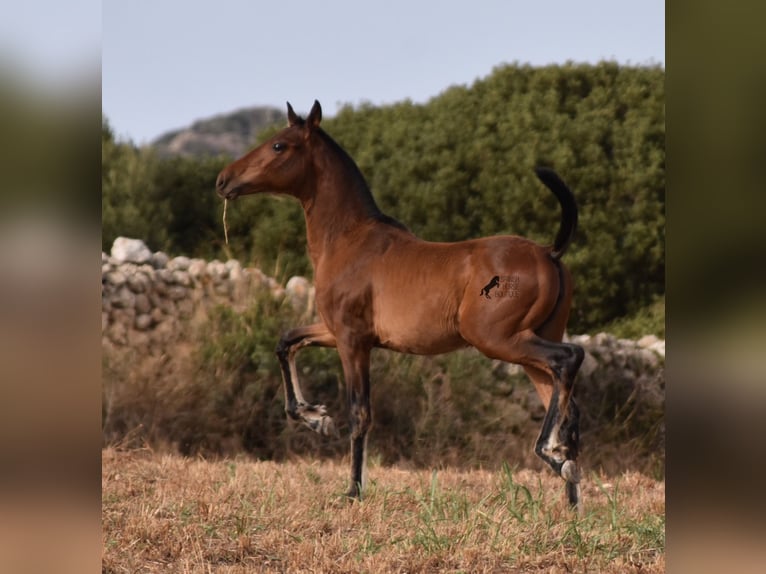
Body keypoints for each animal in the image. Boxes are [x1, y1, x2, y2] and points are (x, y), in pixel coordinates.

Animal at [213, 101, 584, 510]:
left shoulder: (352, 341)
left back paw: (552, 456)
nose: (223, 180)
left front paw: (353, 490)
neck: (349, 239)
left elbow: (360, 413)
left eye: (279, 145)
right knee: (568, 405)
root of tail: (549, 253)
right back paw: (571, 498)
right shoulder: (335, 331)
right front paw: (315, 417)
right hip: (529, 345)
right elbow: (286, 342)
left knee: (570, 358)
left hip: (498, 340)